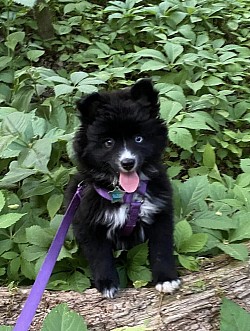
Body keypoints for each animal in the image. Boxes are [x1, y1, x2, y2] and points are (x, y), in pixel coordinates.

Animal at [66, 80, 180, 298]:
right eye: (108, 142)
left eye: (138, 139)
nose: (127, 162)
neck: (126, 194)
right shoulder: (88, 223)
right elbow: (100, 255)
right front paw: (107, 283)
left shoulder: (160, 214)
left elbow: (161, 249)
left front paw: (166, 278)